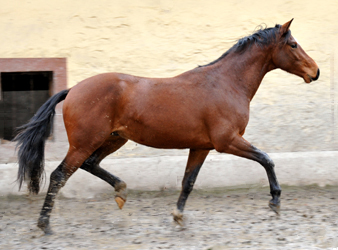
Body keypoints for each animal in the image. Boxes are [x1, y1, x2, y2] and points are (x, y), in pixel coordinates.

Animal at [13, 18, 320, 234]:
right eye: (293, 45)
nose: (315, 72)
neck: (226, 83)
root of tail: (73, 90)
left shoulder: (201, 146)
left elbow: (188, 182)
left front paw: (178, 216)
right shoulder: (227, 141)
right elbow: (266, 159)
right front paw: (275, 201)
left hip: (114, 139)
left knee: (91, 164)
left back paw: (121, 191)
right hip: (86, 141)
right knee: (59, 175)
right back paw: (45, 224)